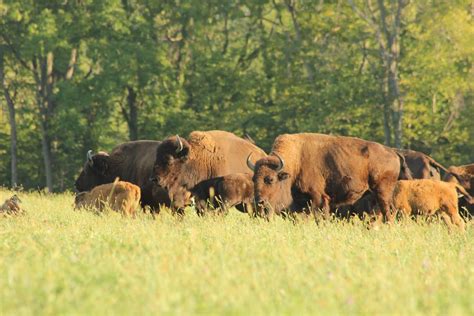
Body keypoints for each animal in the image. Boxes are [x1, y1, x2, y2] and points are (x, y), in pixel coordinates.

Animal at [248, 133, 412, 222]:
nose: (259, 201)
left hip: (383, 192)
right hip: (373, 195)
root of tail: (393, 152)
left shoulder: (319, 198)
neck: (297, 159)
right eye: (253, 179)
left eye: (270, 179)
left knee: (388, 212)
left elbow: (321, 217)